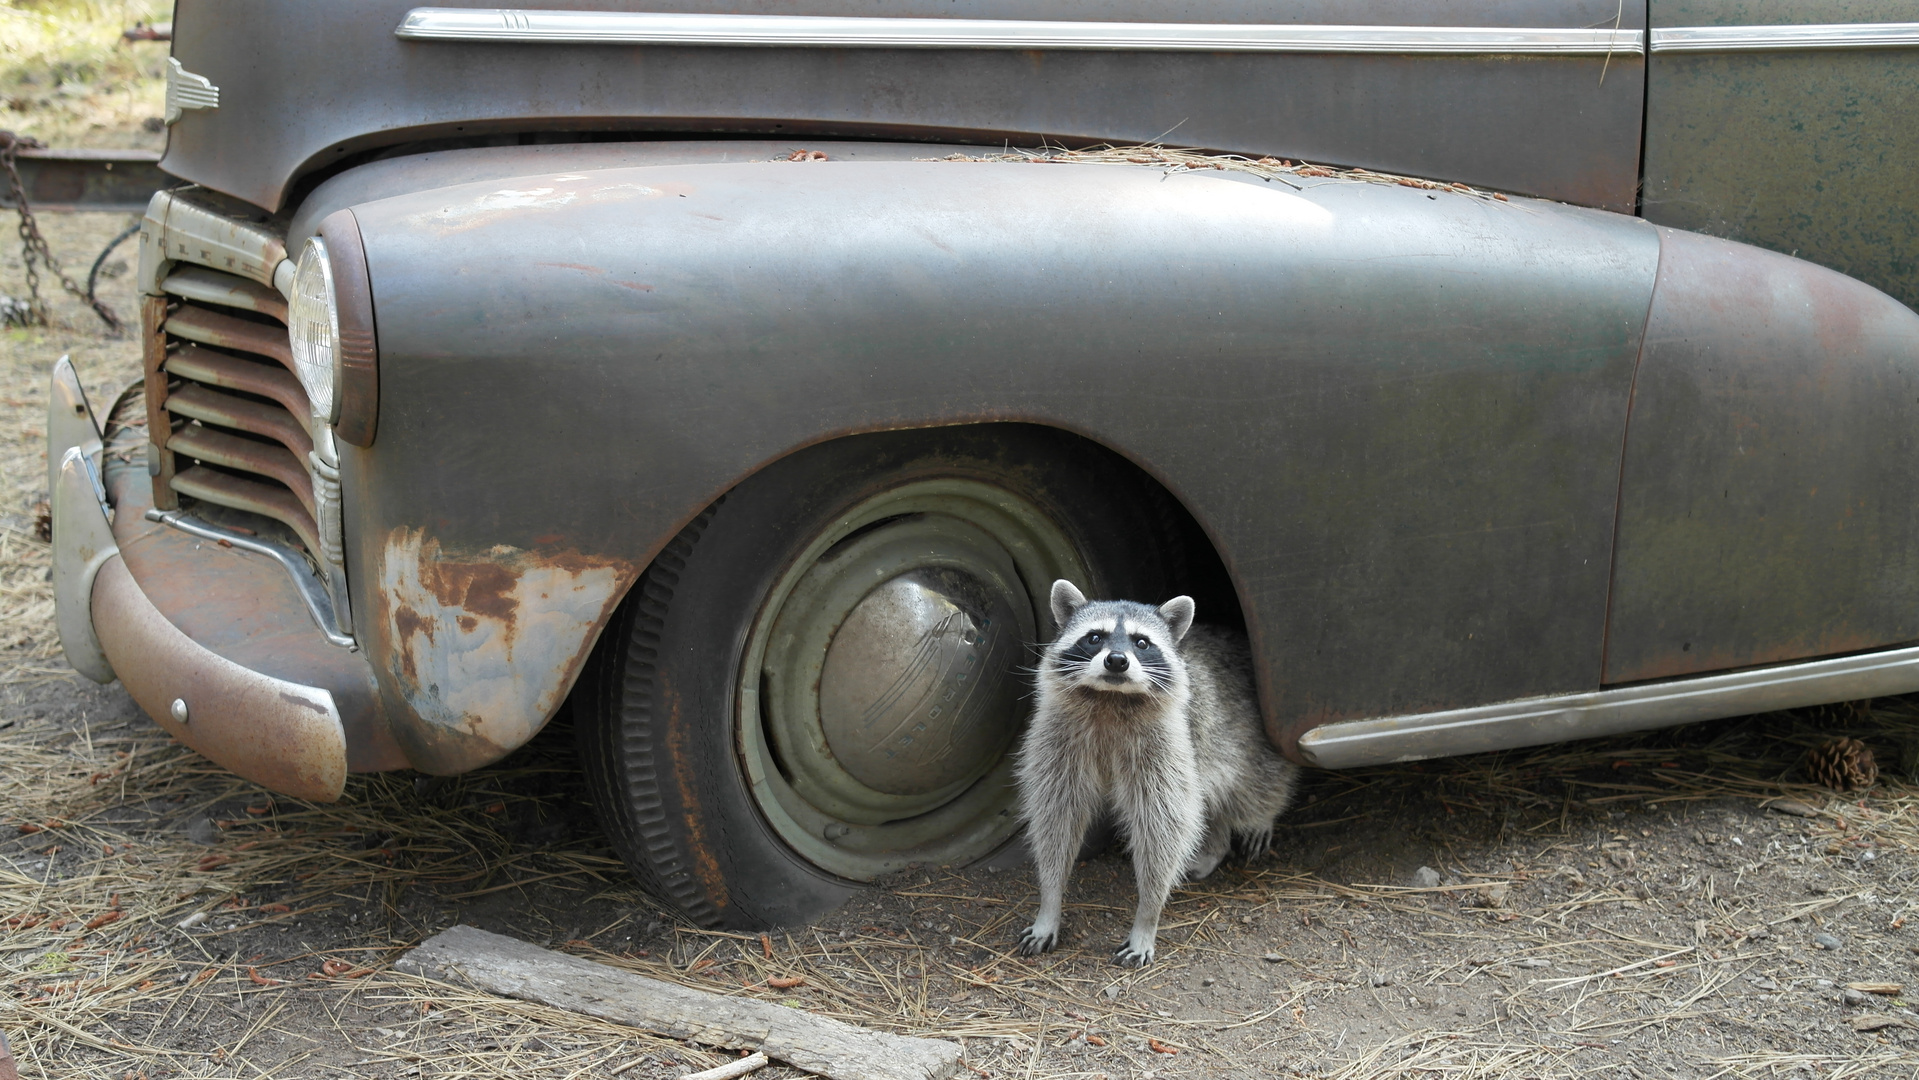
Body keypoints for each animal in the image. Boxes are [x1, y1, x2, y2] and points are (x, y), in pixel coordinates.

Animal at [1013, 579, 1297, 966]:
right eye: (1094, 637)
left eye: (1141, 642)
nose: (1117, 661)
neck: (1110, 698)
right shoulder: (1059, 741)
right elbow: (1057, 817)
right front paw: (1050, 900)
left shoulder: (1166, 747)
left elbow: (1164, 826)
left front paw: (1148, 915)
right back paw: (1218, 842)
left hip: (1246, 737)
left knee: (1254, 783)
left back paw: (1254, 820)